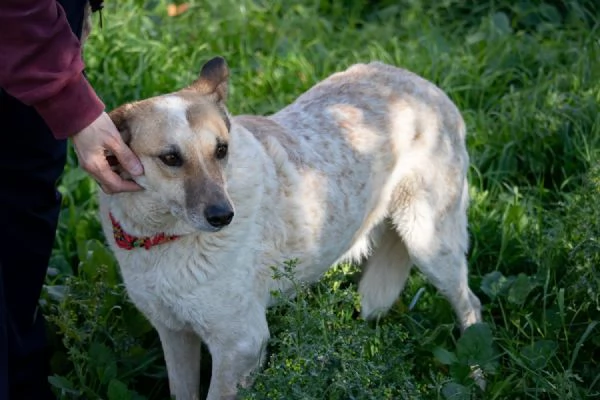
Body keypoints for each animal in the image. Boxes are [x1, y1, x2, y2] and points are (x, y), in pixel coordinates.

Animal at [97, 57, 482, 400]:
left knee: (472, 307)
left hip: (431, 244)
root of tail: (428, 86)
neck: (163, 238)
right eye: (170, 158)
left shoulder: (241, 345)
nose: (224, 216)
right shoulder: (174, 333)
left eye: (221, 150)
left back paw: (477, 377)